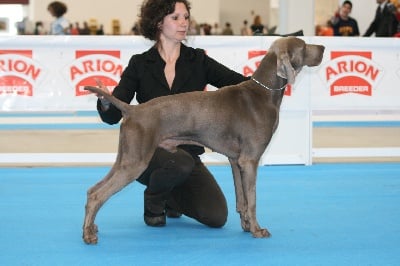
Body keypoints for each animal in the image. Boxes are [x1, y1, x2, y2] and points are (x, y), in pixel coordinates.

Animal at [82, 36, 324, 244]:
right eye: (303, 45)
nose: (322, 47)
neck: (263, 93)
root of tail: (132, 109)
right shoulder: (250, 160)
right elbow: (253, 199)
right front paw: (257, 230)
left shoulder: (236, 161)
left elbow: (242, 200)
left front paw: (246, 226)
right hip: (136, 162)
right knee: (98, 195)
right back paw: (88, 235)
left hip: (125, 157)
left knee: (92, 190)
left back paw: (91, 227)